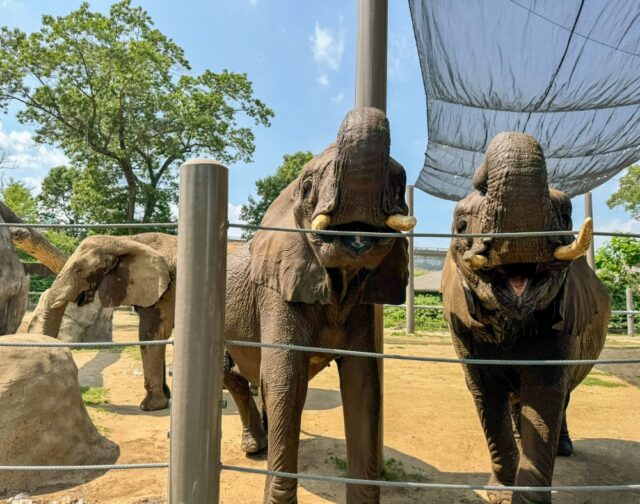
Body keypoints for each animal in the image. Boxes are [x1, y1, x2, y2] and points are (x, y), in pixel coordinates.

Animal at [29, 232, 177, 411]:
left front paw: (150, 406)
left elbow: (152, 334)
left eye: (78, 270)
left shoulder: (166, 292)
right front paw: (165, 399)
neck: (125, 240)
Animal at [441, 132, 610, 504]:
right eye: (462, 226)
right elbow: (485, 393)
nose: (479, 177)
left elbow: (545, 393)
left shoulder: (563, 320)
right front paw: (502, 495)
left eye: (566, 217)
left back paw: (564, 448)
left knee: (562, 397)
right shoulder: (463, 326)